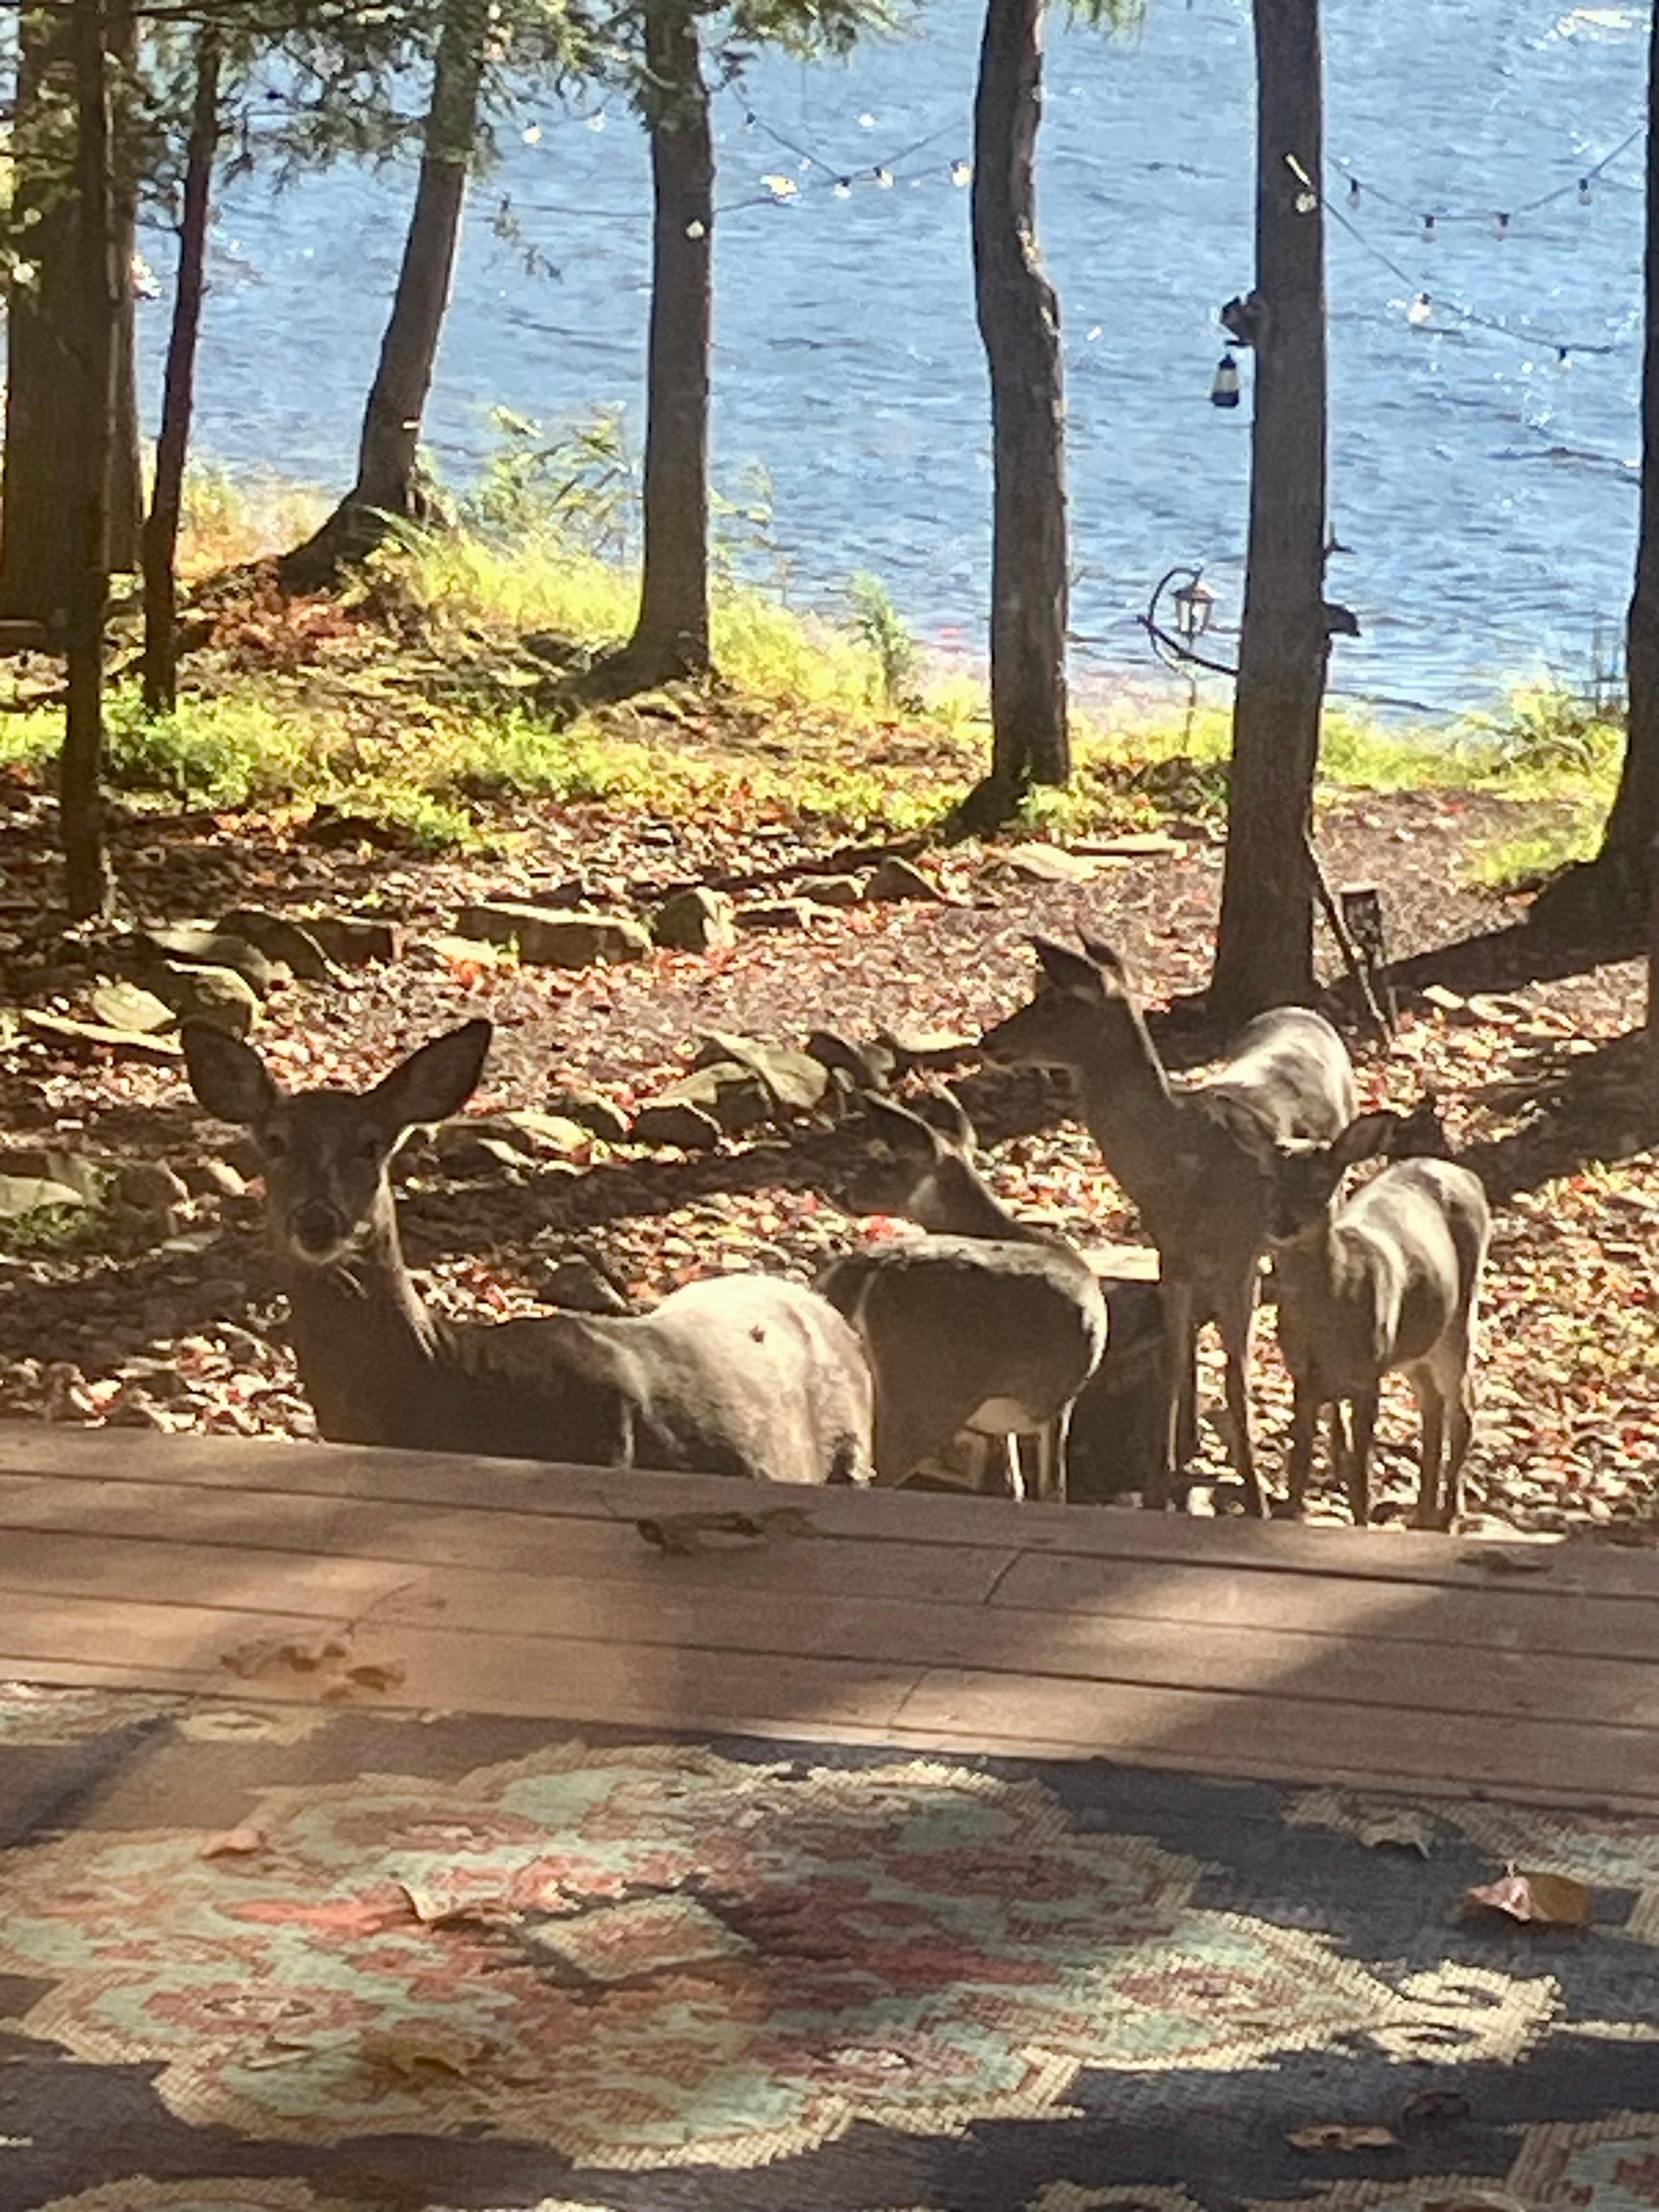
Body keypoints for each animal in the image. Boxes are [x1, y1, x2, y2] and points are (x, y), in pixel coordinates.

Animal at [814, 1088, 1107, 1501]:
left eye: (887, 1164)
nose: (837, 1192)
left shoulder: (1010, 1418)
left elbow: (1013, 1486)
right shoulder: (1056, 1400)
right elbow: (1051, 1488)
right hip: (928, 1391)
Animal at [980, 936, 1355, 1517]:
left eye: (1057, 1001)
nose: (989, 1041)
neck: (1180, 1166)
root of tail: (1306, 1011)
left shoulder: (1237, 1256)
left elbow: (1237, 1376)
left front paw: (1255, 1496)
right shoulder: (1172, 1257)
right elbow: (1174, 1362)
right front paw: (1163, 1480)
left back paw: (1337, 1460)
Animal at [1266, 1099, 1490, 1530]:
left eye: (1322, 1181)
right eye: (1269, 1178)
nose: (1281, 1223)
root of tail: (1468, 1175)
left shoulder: (1368, 1377)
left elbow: (1360, 1472)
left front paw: (1362, 1523)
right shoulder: (1303, 1377)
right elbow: (1299, 1461)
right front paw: (1292, 1512)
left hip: (1459, 1316)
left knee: (1464, 1408)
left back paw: (1448, 1514)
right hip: (1417, 1344)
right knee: (1433, 1406)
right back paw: (1422, 1511)